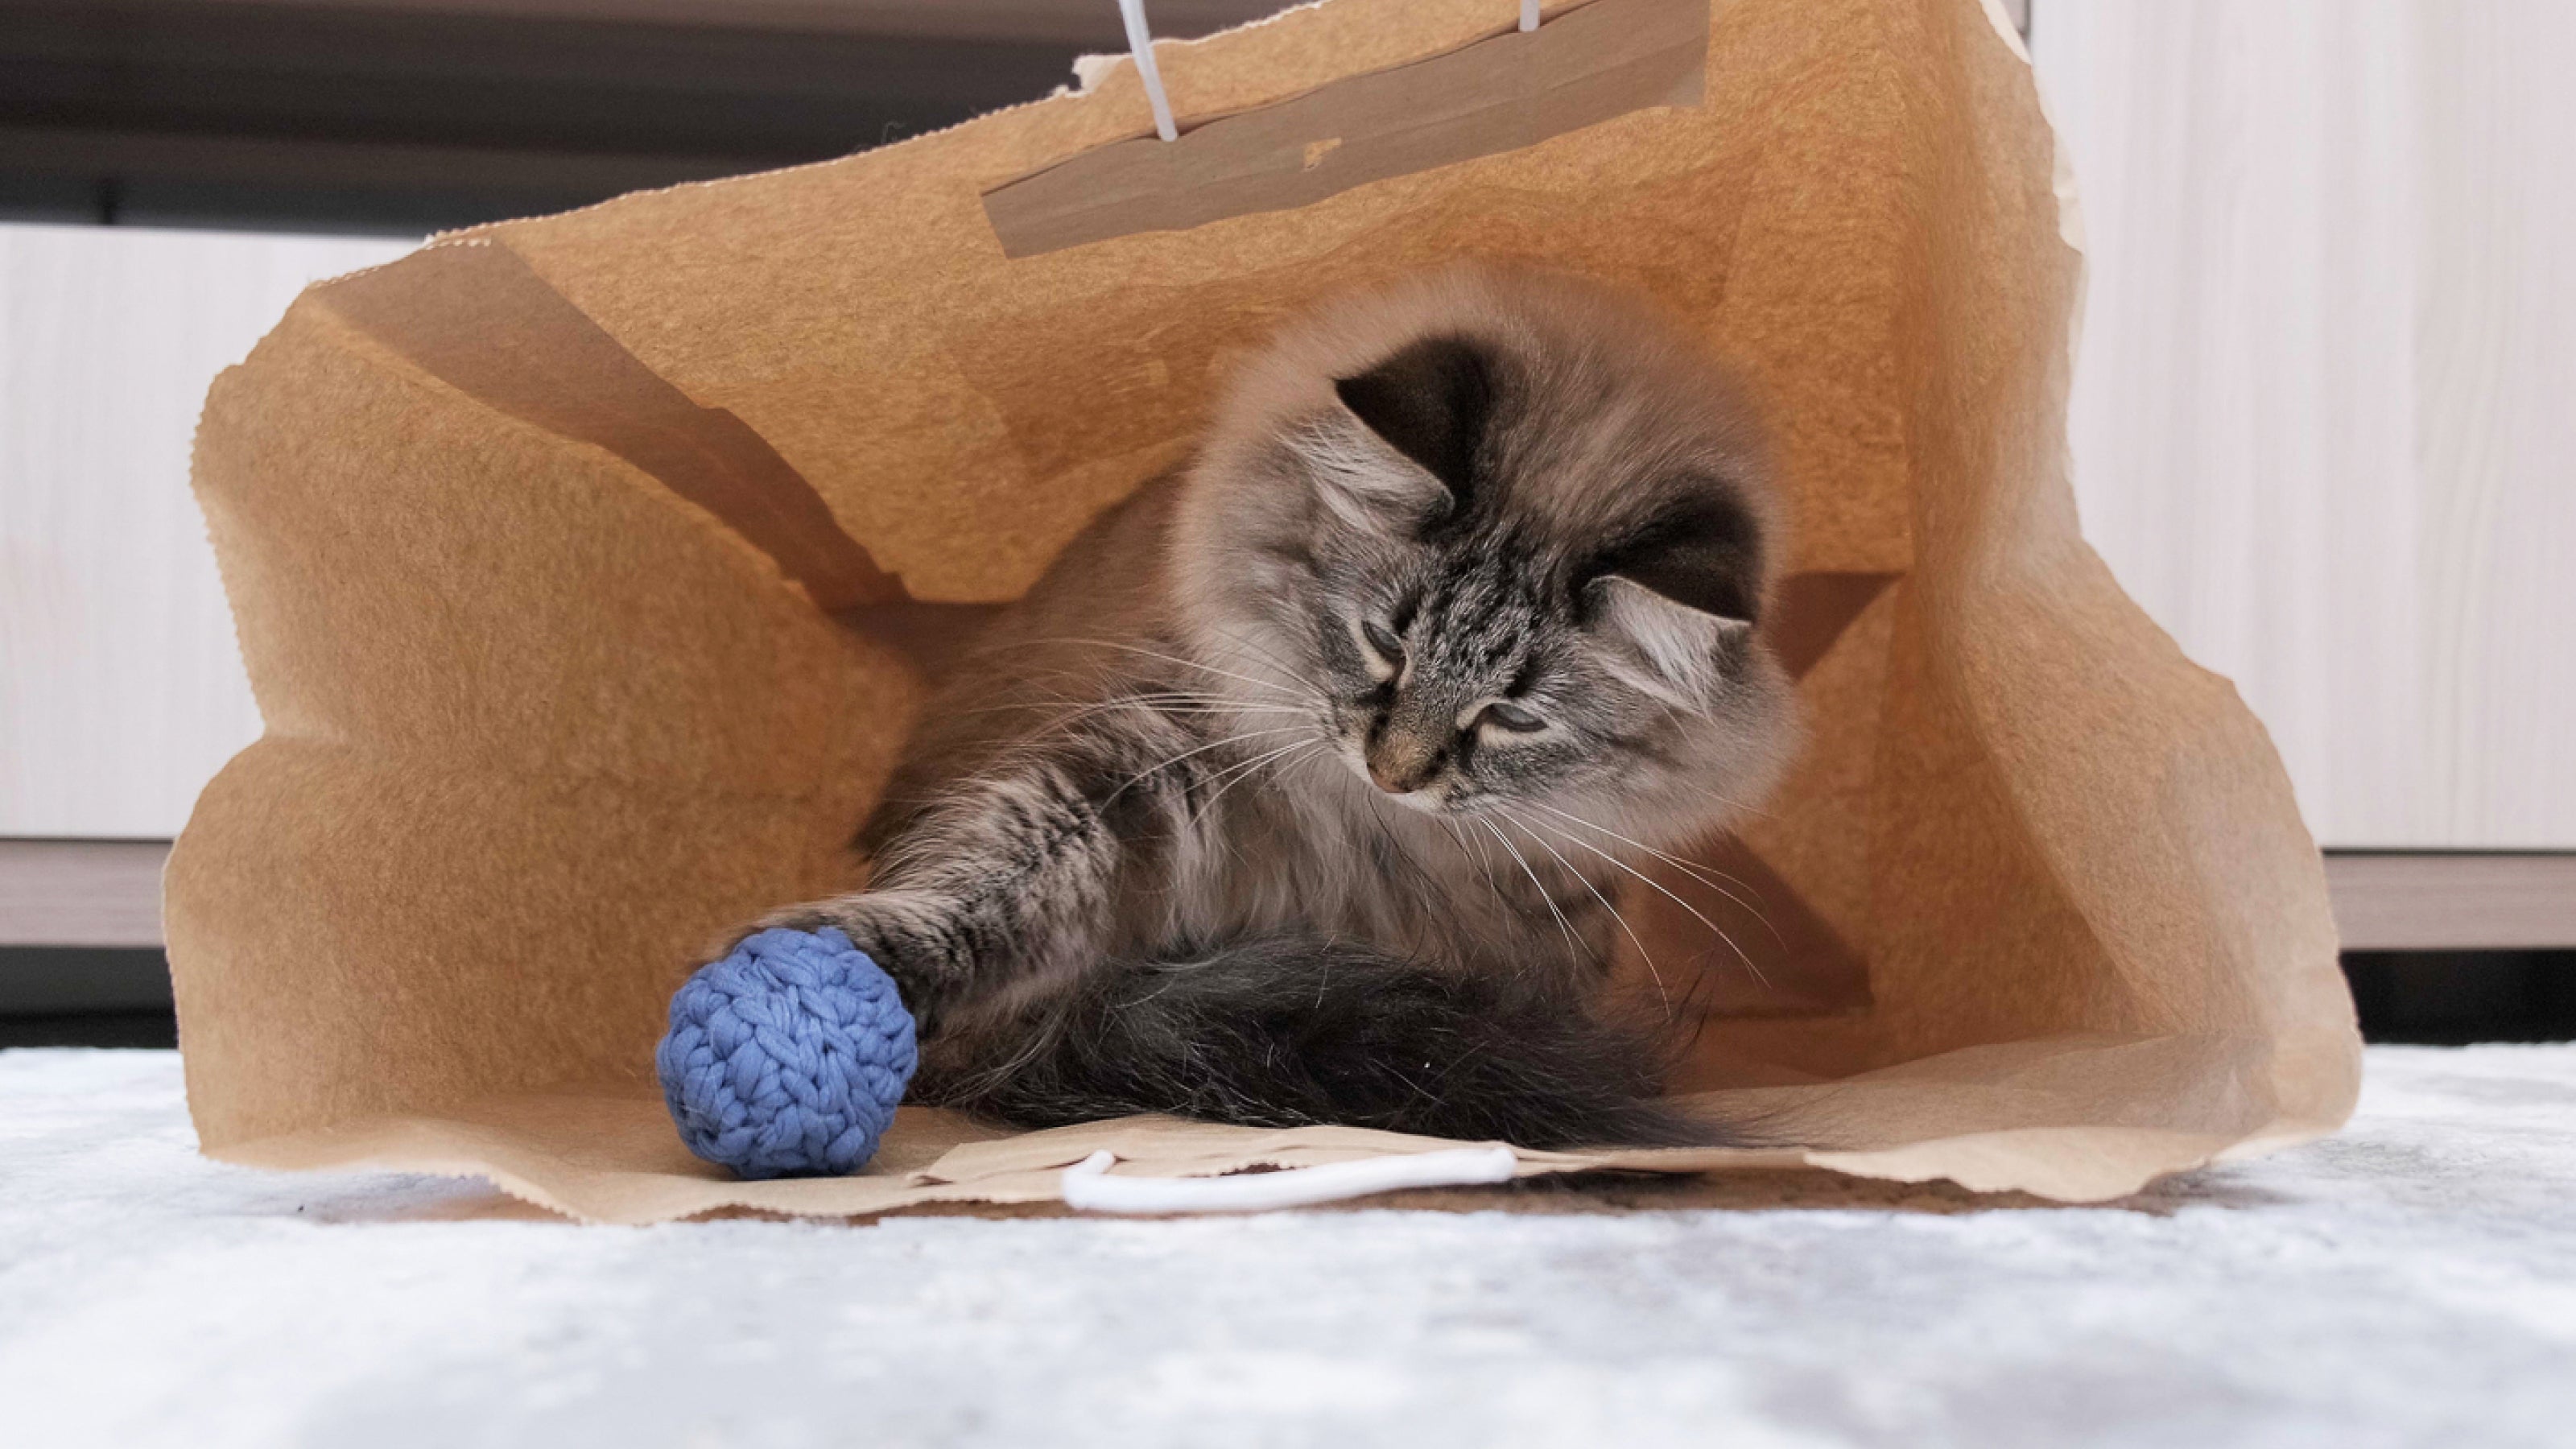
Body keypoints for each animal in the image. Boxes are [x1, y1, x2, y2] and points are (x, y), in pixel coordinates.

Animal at [747, 262, 1793, 1139]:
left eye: (1513, 717)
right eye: (1383, 643)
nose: (1393, 773)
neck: (1373, 835)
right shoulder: (1155, 771)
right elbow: (1000, 880)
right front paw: (851, 960)